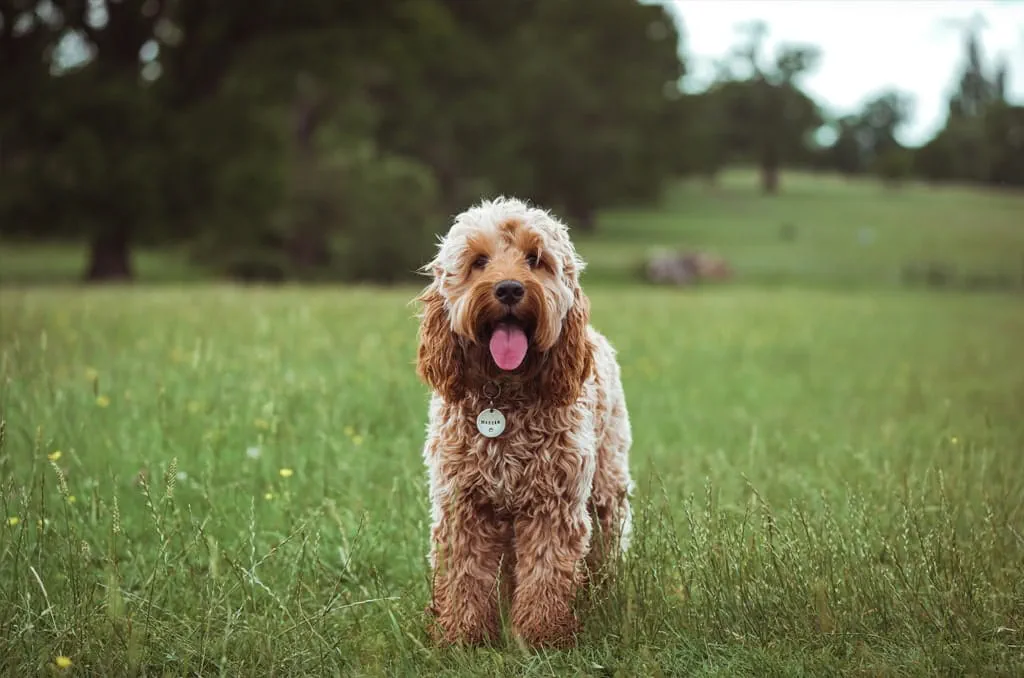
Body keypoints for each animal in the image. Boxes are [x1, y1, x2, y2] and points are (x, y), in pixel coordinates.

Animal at [415, 196, 630, 647]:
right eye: (479, 261)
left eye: (536, 259)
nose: (510, 289)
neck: (503, 395)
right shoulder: (463, 504)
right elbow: (462, 575)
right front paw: (461, 636)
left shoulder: (554, 504)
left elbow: (547, 573)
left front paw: (540, 638)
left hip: (606, 485)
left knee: (606, 541)